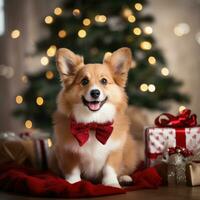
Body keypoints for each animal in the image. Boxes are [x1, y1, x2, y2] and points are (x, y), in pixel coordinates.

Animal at [52, 47, 144, 188]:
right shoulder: (68, 152)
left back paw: (125, 178)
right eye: (84, 81)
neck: (93, 124)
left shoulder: (114, 150)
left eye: (104, 81)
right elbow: (73, 170)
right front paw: (73, 183)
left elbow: (109, 169)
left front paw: (111, 184)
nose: (95, 93)